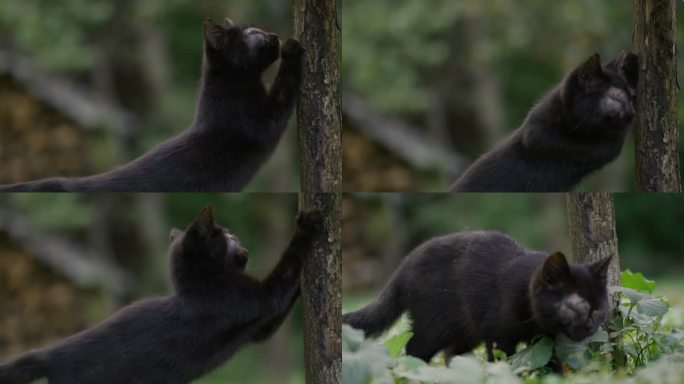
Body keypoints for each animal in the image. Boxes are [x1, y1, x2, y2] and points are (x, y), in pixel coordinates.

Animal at [0, 18, 304, 192]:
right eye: (254, 33)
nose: (274, 36)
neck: (232, 84)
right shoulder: (262, 120)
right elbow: (284, 85)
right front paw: (293, 48)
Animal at [0, 206, 324, 382]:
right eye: (227, 235)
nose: (240, 240)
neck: (200, 285)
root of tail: (50, 354)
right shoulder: (257, 297)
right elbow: (287, 266)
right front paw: (308, 224)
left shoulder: (258, 328)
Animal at [344, 231, 612, 364]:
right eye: (576, 306)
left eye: (598, 310)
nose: (590, 326)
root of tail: (405, 264)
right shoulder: (498, 337)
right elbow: (502, 362)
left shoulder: (546, 339)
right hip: (433, 326)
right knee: (413, 350)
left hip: (465, 332)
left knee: (451, 353)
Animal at [452, 52, 640, 192]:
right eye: (617, 96)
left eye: (631, 99)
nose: (632, 112)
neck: (572, 124)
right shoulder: (539, 136)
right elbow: (608, 143)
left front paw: (631, 60)